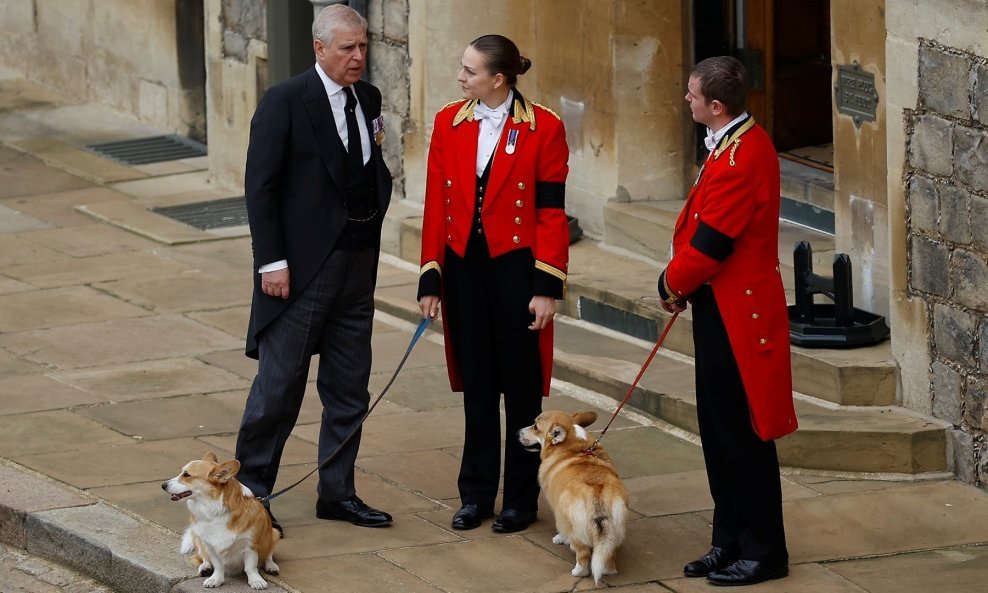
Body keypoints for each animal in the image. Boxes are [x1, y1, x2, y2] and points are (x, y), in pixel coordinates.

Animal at [160, 454, 280, 588]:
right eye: (181, 472)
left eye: (186, 475)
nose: (163, 485)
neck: (214, 510)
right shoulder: (210, 545)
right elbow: (218, 565)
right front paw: (215, 579)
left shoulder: (249, 545)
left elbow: (250, 567)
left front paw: (256, 581)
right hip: (198, 537)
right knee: (203, 557)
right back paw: (205, 567)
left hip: (274, 533)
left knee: (269, 554)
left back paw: (271, 566)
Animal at [520, 410, 628, 584]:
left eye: (535, 426)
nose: (518, 432)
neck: (573, 446)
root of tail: (597, 494)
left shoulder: (559, 511)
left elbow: (562, 529)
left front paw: (559, 539)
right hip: (614, 531)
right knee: (608, 555)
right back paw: (608, 571)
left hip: (577, 529)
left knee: (583, 553)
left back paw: (577, 572)